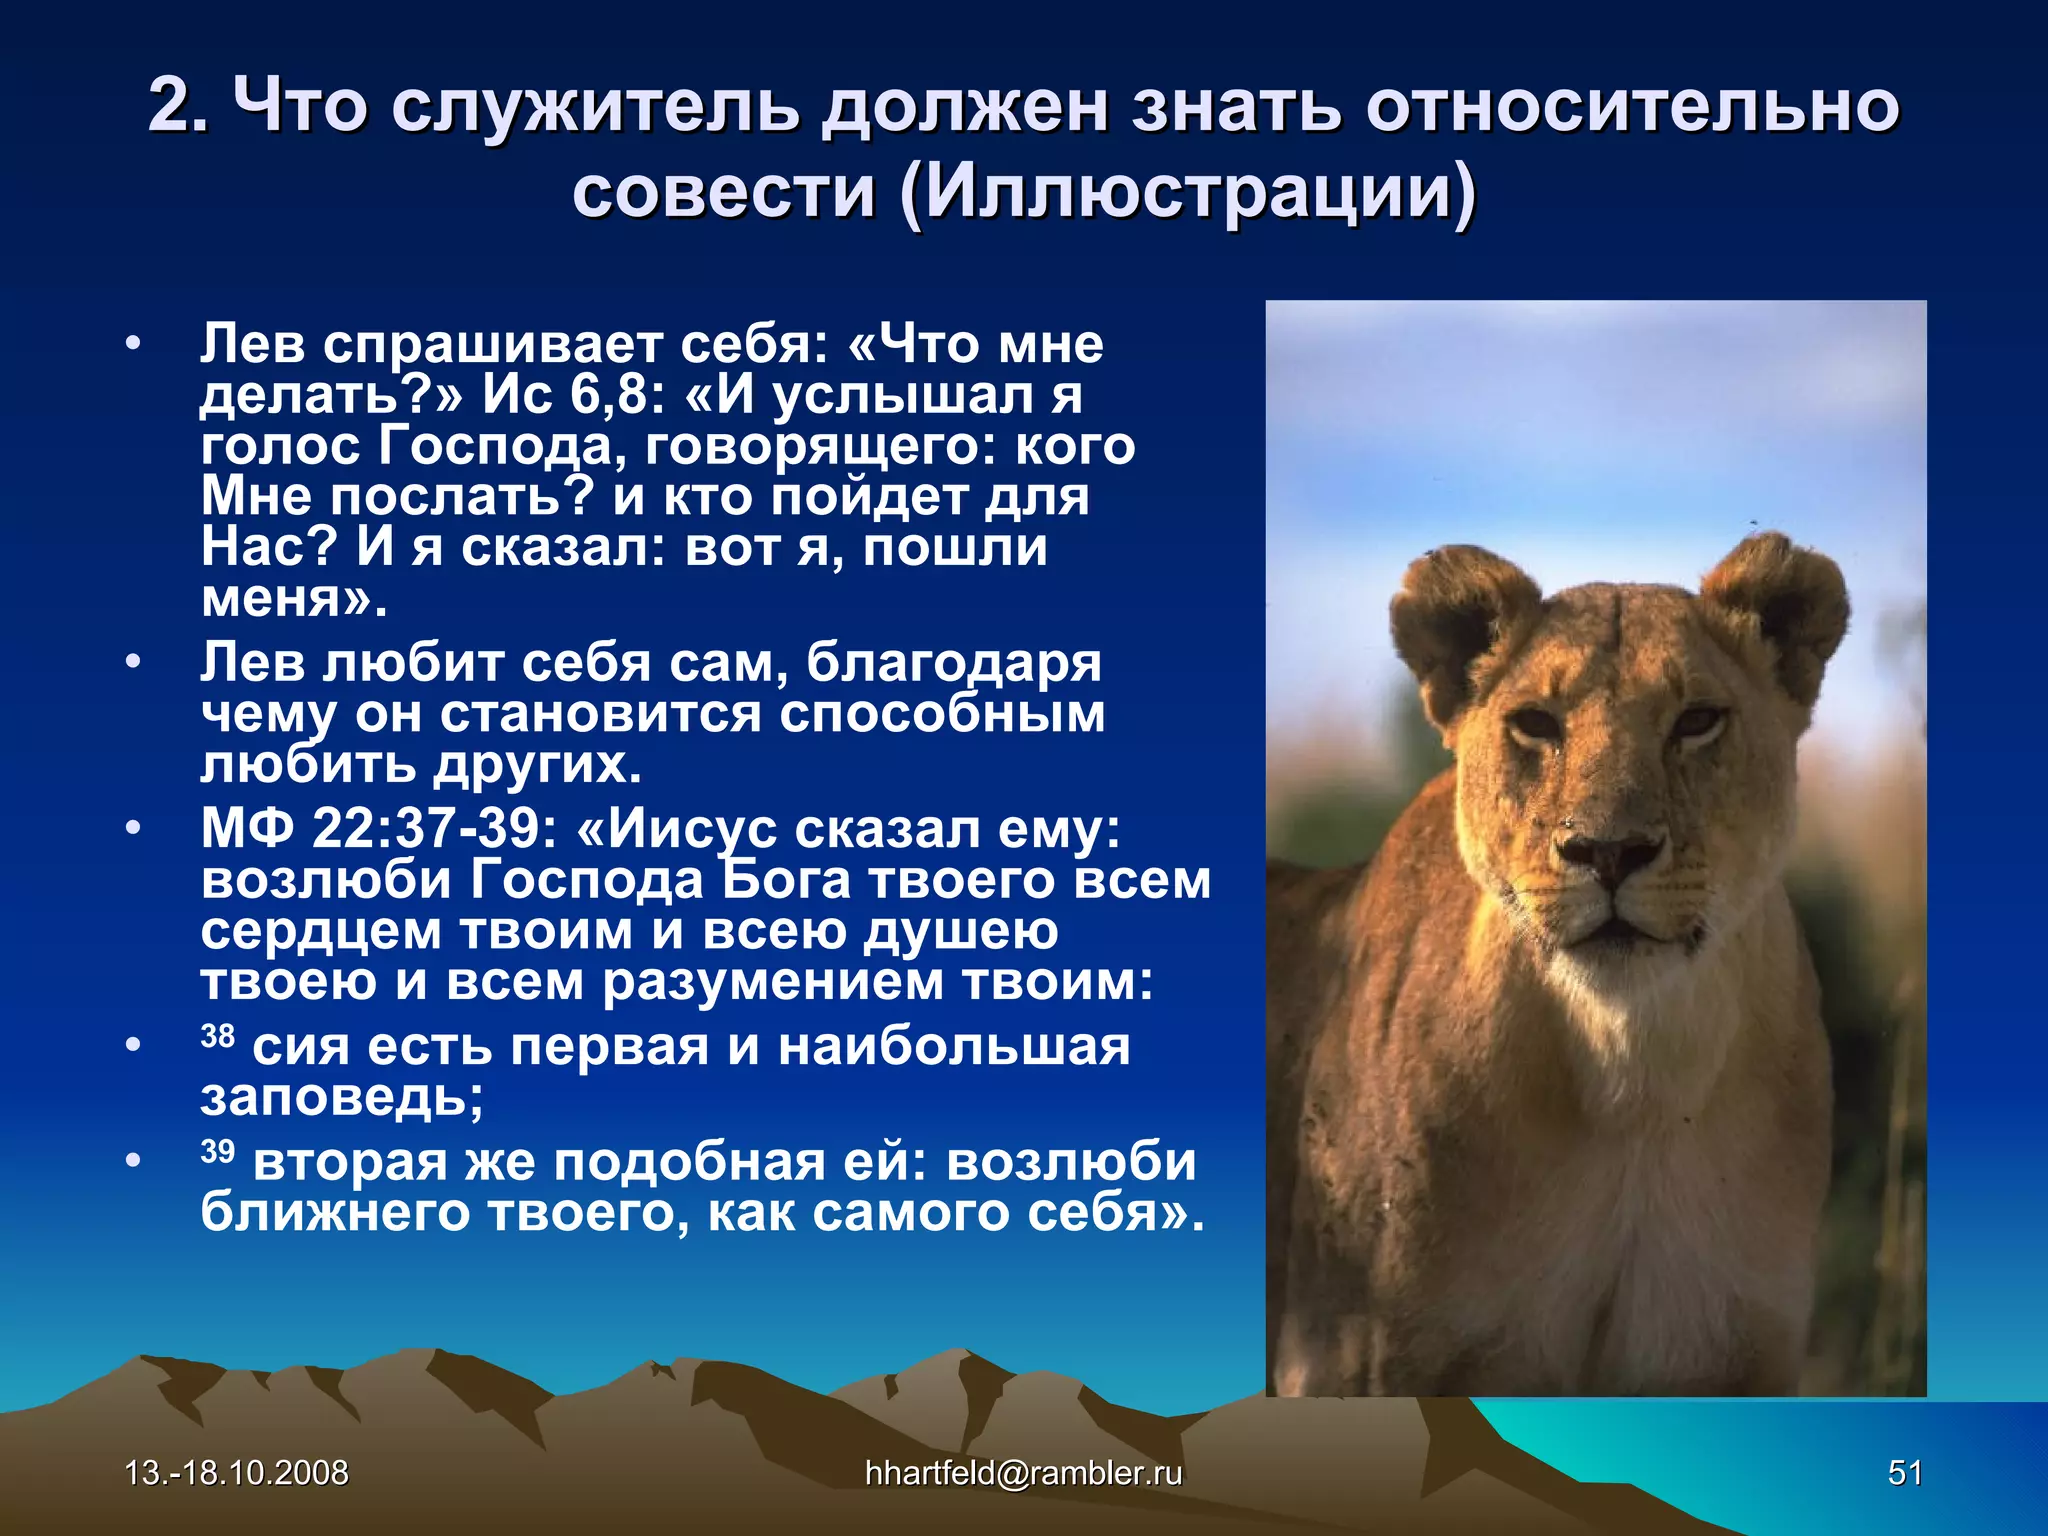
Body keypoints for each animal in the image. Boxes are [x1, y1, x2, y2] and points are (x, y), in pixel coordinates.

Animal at [1267, 533, 1847, 1397]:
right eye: (1536, 725)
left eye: (1697, 721)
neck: (1633, 1080)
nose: (1609, 852)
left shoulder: (1735, 1355)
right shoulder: (1350, 1359)